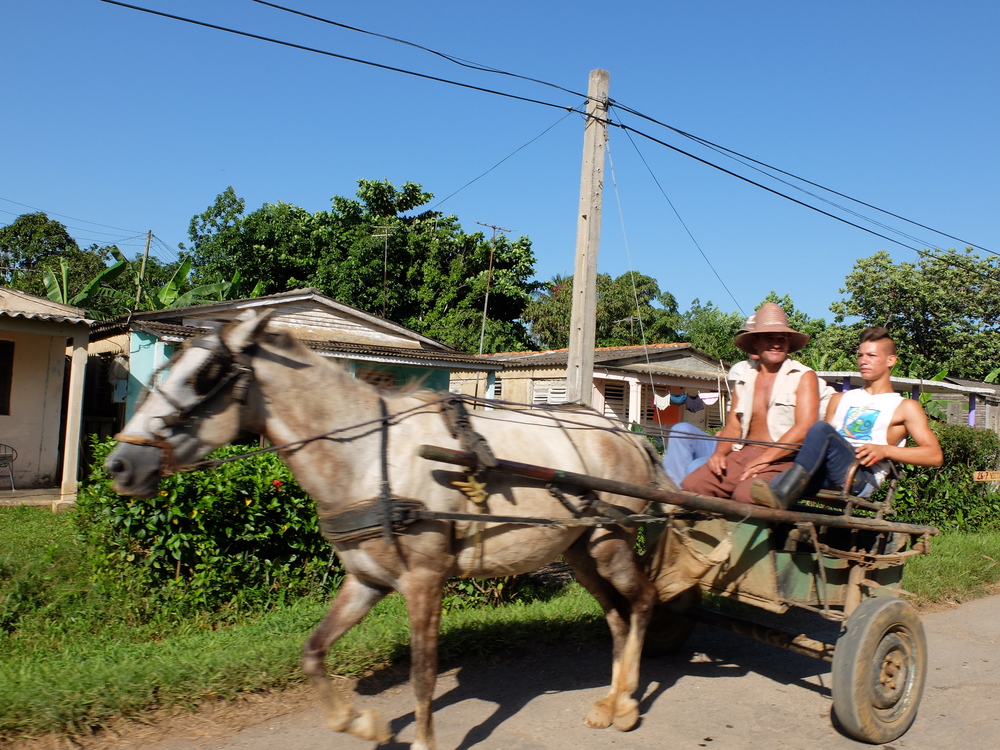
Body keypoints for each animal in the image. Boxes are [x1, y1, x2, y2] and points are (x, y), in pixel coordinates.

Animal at [105, 312, 668, 750]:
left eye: (206, 375)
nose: (119, 465)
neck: (367, 460)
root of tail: (627, 435)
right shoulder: (366, 580)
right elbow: (313, 652)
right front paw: (360, 722)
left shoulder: (424, 580)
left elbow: (423, 673)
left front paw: (419, 739)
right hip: (581, 551)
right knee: (616, 615)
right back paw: (612, 698)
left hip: (612, 542)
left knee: (641, 602)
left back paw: (627, 705)